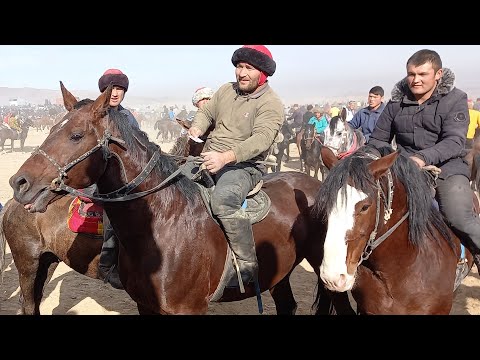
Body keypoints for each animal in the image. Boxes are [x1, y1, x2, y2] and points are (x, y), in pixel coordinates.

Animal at [8, 83, 334, 314]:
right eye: (52, 128)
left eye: (76, 135)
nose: (19, 182)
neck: (165, 223)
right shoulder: (147, 305)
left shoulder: (186, 309)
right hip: (32, 263)